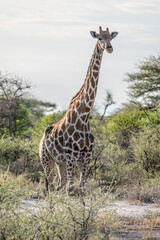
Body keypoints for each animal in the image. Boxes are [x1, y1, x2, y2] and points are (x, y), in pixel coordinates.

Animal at [39, 26, 118, 191]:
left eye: (111, 37)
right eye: (99, 38)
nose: (109, 48)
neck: (84, 115)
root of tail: (43, 137)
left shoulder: (87, 156)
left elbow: (81, 187)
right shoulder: (71, 156)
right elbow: (70, 188)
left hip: (59, 162)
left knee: (59, 185)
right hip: (46, 160)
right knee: (49, 187)